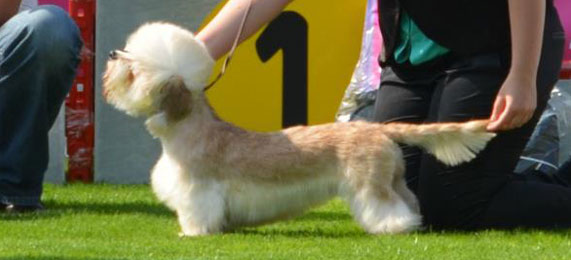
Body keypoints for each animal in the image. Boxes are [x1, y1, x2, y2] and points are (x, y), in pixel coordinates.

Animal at [103, 22, 496, 237]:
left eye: (133, 67)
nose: (110, 54)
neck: (187, 129)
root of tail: (381, 130)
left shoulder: (198, 191)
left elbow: (198, 213)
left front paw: (192, 233)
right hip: (394, 176)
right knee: (409, 200)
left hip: (368, 184)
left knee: (386, 206)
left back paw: (393, 227)